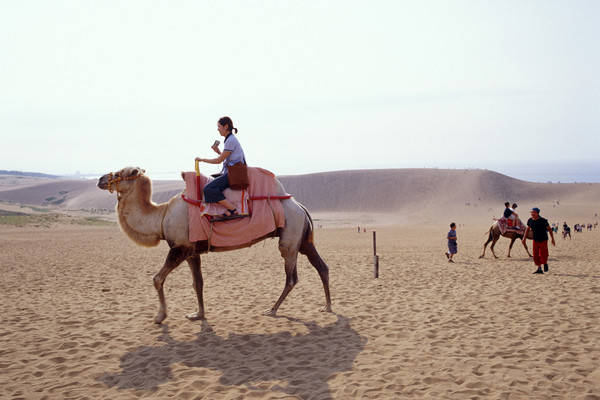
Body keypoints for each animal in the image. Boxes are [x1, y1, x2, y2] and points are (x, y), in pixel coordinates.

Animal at [98, 167, 332, 324]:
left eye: (122, 171)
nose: (100, 179)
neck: (161, 216)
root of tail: (299, 205)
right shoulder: (192, 251)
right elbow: (198, 283)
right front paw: (198, 314)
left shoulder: (179, 248)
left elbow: (157, 279)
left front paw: (160, 316)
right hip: (303, 238)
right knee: (321, 266)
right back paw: (327, 307)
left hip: (290, 238)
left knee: (291, 277)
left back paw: (272, 310)